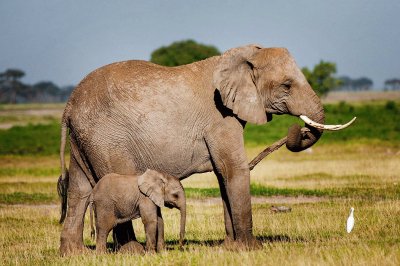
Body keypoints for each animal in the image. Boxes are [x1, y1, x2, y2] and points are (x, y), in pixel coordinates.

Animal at [57, 44, 350, 255]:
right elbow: (234, 170)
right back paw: (133, 252)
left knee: (79, 190)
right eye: (286, 85)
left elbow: (223, 175)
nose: (300, 129)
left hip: (85, 139)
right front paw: (252, 249)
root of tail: (69, 105)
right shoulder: (220, 118)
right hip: (107, 138)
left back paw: (76, 254)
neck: (244, 55)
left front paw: (230, 248)